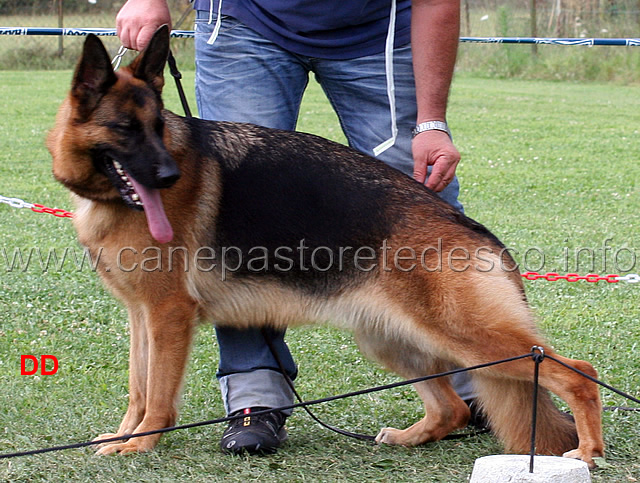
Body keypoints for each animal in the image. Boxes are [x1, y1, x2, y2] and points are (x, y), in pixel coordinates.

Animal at [47, 26, 604, 468]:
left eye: (159, 128)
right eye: (125, 130)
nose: (169, 176)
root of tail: (472, 228)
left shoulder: (167, 316)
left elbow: (158, 395)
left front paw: (141, 445)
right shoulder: (141, 316)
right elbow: (138, 387)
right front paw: (126, 435)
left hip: (467, 338)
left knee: (577, 373)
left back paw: (586, 451)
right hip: (390, 340)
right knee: (453, 406)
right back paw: (409, 438)